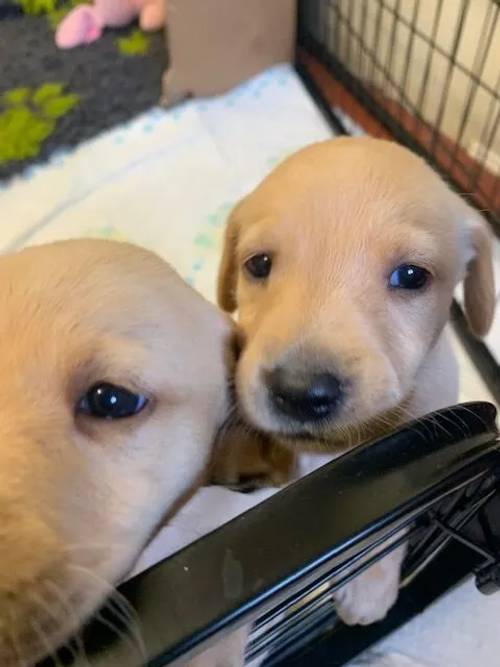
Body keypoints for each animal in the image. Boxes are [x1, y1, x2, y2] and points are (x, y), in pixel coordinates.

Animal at [216, 138, 496, 628]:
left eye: (411, 276)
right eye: (258, 264)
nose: (300, 393)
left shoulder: (416, 447)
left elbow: (388, 513)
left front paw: (367, 589)